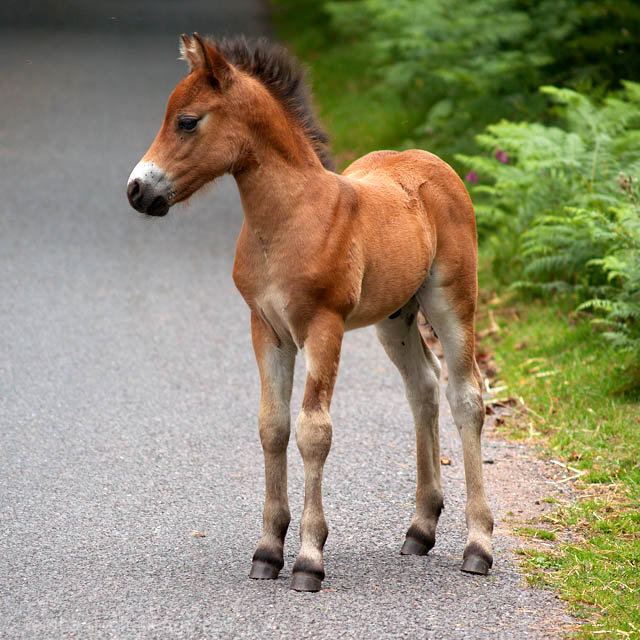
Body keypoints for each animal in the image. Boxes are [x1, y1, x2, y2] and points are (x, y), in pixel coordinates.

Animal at [126, 34, 493, 592]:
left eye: (187, 121)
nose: (137, 190)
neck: (289, 218)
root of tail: (432, 161)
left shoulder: (324, 326)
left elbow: (314, 431)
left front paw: (307, 558)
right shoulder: (266, 329)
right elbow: (273, 426)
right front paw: (267, 551)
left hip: (452, 299)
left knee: (466, 395)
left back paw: (478, 546)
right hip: (395, 317)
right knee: (423, 386)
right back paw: (420, 528)